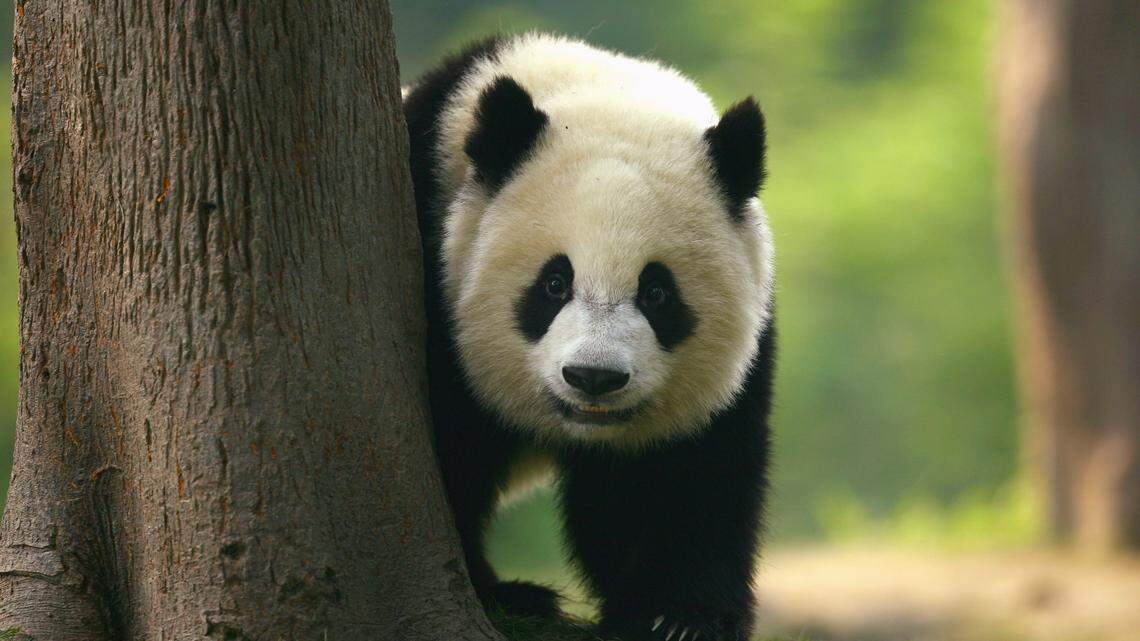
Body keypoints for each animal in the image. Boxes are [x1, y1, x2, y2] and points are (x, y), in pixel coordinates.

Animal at [403, 33, 776, 641]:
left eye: (657, 293)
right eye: (555, 283)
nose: (594, 378)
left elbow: (690, 472)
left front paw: (676, 616)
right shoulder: (431, 247)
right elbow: (453, 447)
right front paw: (498, 593)